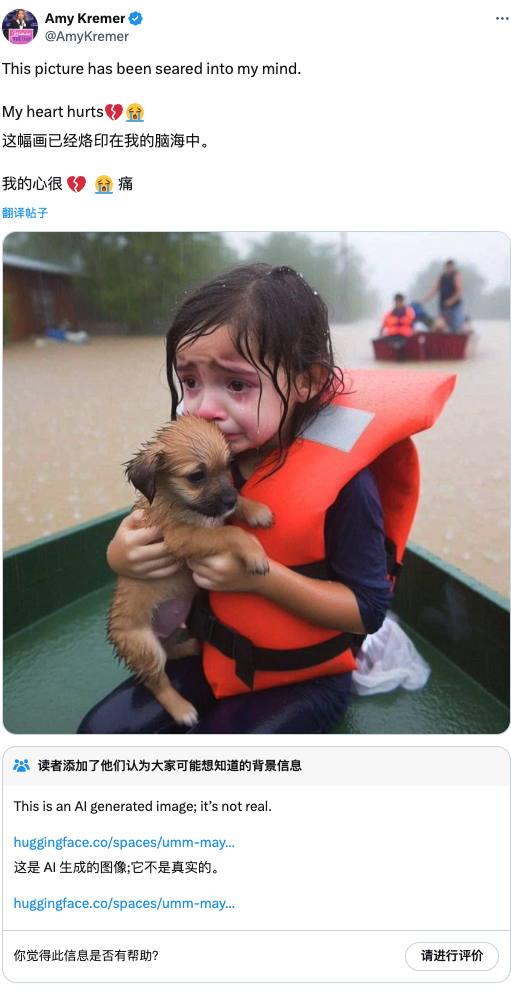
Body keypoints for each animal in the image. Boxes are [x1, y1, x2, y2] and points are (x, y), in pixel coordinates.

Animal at [108, 414, 274, 724]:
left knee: (170, 652)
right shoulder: (182, 537)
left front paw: (255, 509)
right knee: (156, 681)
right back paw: (182, 709)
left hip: (171, 629)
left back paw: (191, 646)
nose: (229, 500)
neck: (177, 500)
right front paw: (254, 552)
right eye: (197, 476)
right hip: (144, 646)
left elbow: (230, 512)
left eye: (228, 466)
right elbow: (230, 533)